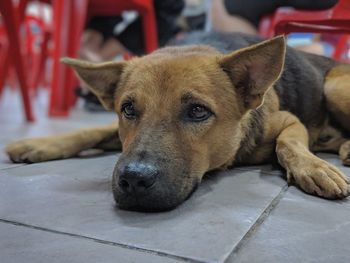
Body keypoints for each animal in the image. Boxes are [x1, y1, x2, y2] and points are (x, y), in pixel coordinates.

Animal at [5, 31, 350, 212]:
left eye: (197, 111)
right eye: (128, 109)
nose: (133, 180)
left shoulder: (290, 121)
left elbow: (287, 143)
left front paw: (313, 167)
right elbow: (90, 131)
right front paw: (40, 143)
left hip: (334, 88)